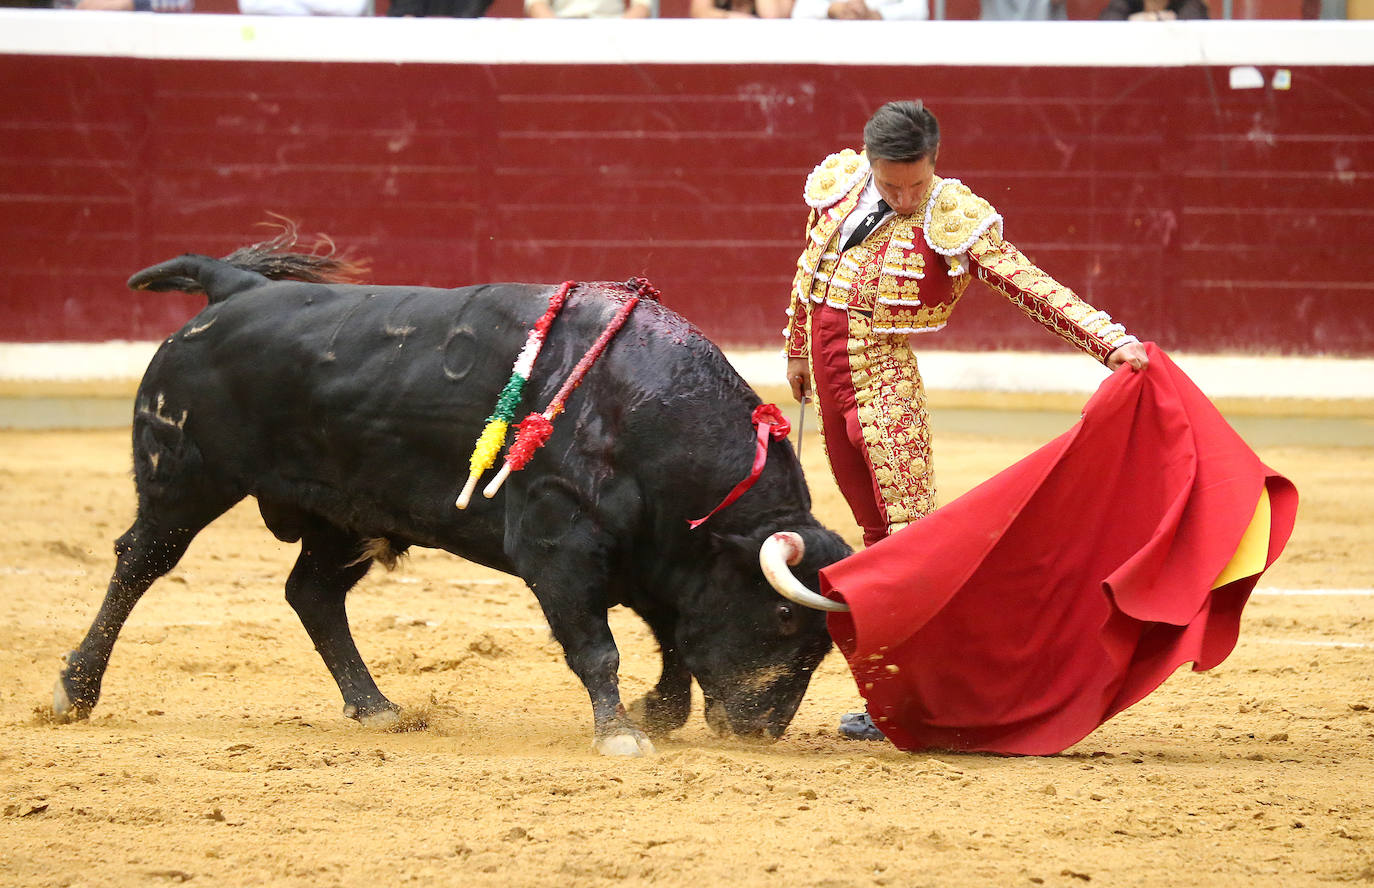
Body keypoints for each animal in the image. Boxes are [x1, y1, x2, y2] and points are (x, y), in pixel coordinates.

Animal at [53, 252, 851, 758]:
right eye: (786, 618)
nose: (762, 728)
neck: (644, 414)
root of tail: (234, 287)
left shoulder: (654, 558)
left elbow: (674, 639)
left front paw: (658, 713)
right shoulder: (559, 547)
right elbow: (600, 646)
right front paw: (622, 733)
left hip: (345, 515)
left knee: (311, 593)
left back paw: (375, 707)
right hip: (184, 480)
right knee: (139, 564)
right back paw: (75, 690)